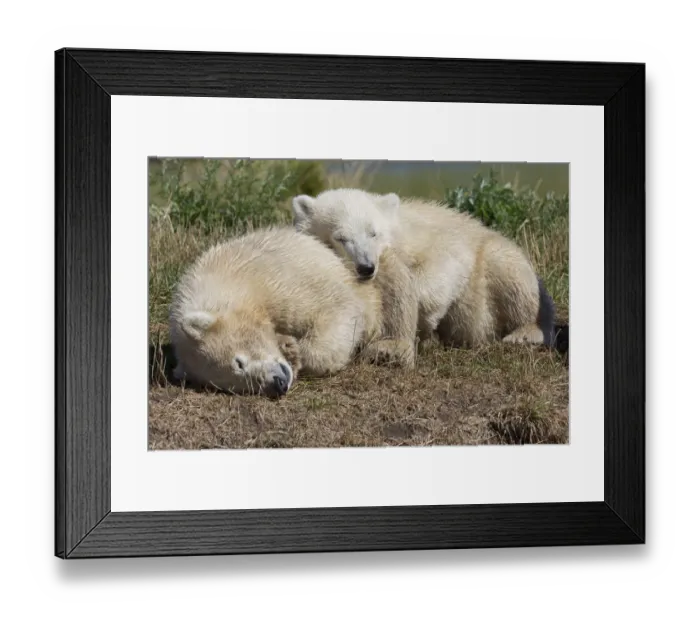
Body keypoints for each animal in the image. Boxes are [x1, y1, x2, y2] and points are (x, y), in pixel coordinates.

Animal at [168, 226, 383, 398]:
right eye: (234, 387)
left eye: (238, 363)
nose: (277, 384)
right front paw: (287, 347)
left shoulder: (281, 282)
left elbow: (337, 307)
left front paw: (295, 352)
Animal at [291, 188, 556, 362]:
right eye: (341, 238)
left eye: (373, 233)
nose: (366, 267)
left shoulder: (426, 236)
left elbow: (445, 260)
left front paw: (425, 315)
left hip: (497, 263)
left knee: (510, 272)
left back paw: (524, 332)